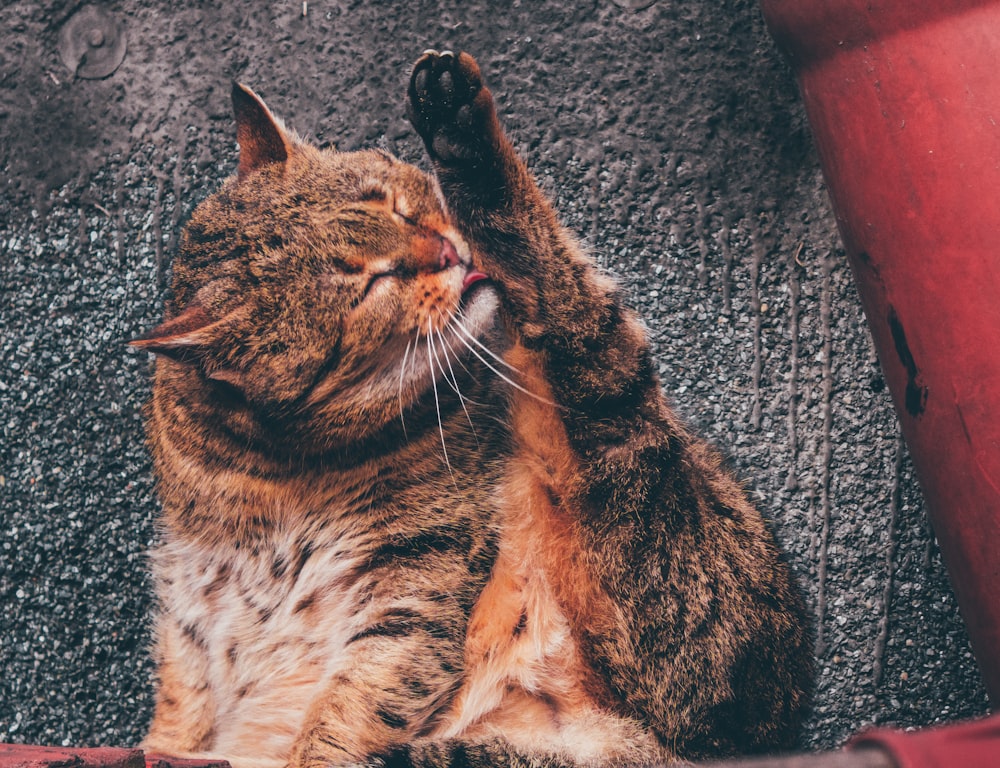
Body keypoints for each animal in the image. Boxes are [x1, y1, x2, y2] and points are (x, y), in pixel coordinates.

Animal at [133, 51, 808, 764]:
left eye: (396, 206)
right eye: (371, 282)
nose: (447, 251)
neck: (267, 470)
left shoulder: (416, 580)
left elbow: (343, 717)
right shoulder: (188, 614)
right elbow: (181, 707)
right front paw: (169, 741)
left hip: (653, 552)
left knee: (578, 325)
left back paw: (462, 131)